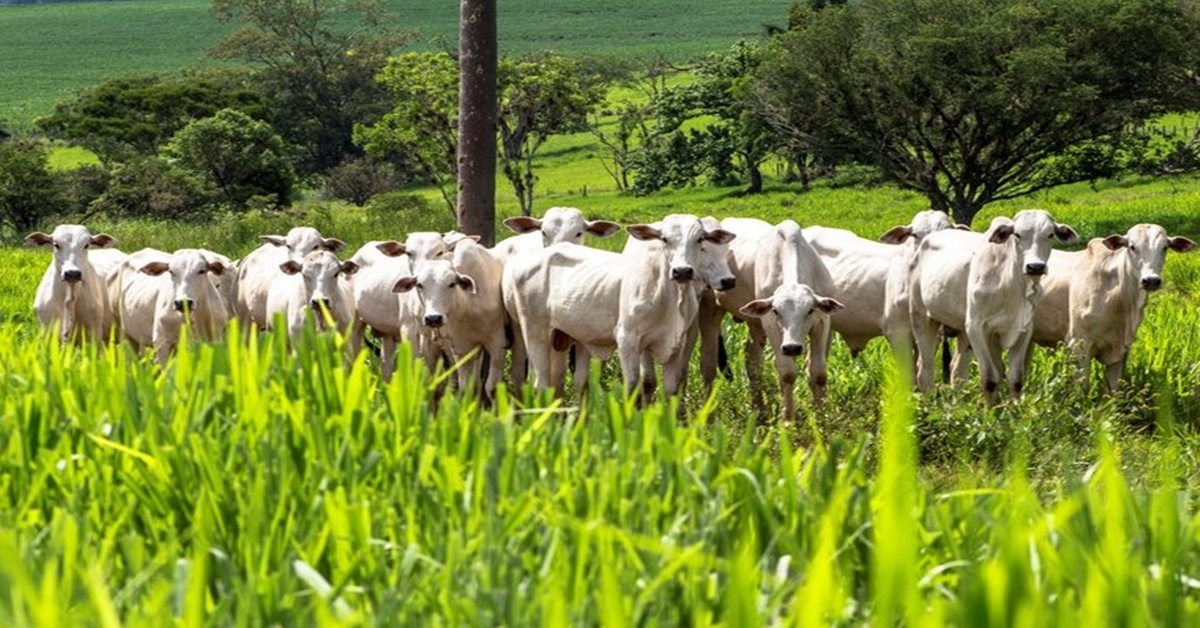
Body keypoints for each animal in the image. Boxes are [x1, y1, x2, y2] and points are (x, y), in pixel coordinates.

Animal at [907, 207, 1080, 403]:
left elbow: (1015, 379)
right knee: (925, 370)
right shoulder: (976, 328)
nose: (1035, 267)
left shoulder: (1023, 330)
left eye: (1050, 234)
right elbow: (990, 379)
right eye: (1017, 234)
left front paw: (1013, 409)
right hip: (922, 318)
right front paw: (990, 411)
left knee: (957, 370)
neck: (1011, 284)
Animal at [1027, 223, 1195, 393]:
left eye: (1165, 247)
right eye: (1132, 247)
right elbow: (1083, 389)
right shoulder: (1078, 344)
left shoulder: (1121, 352)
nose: (1151, 280)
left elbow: (1112, 391)